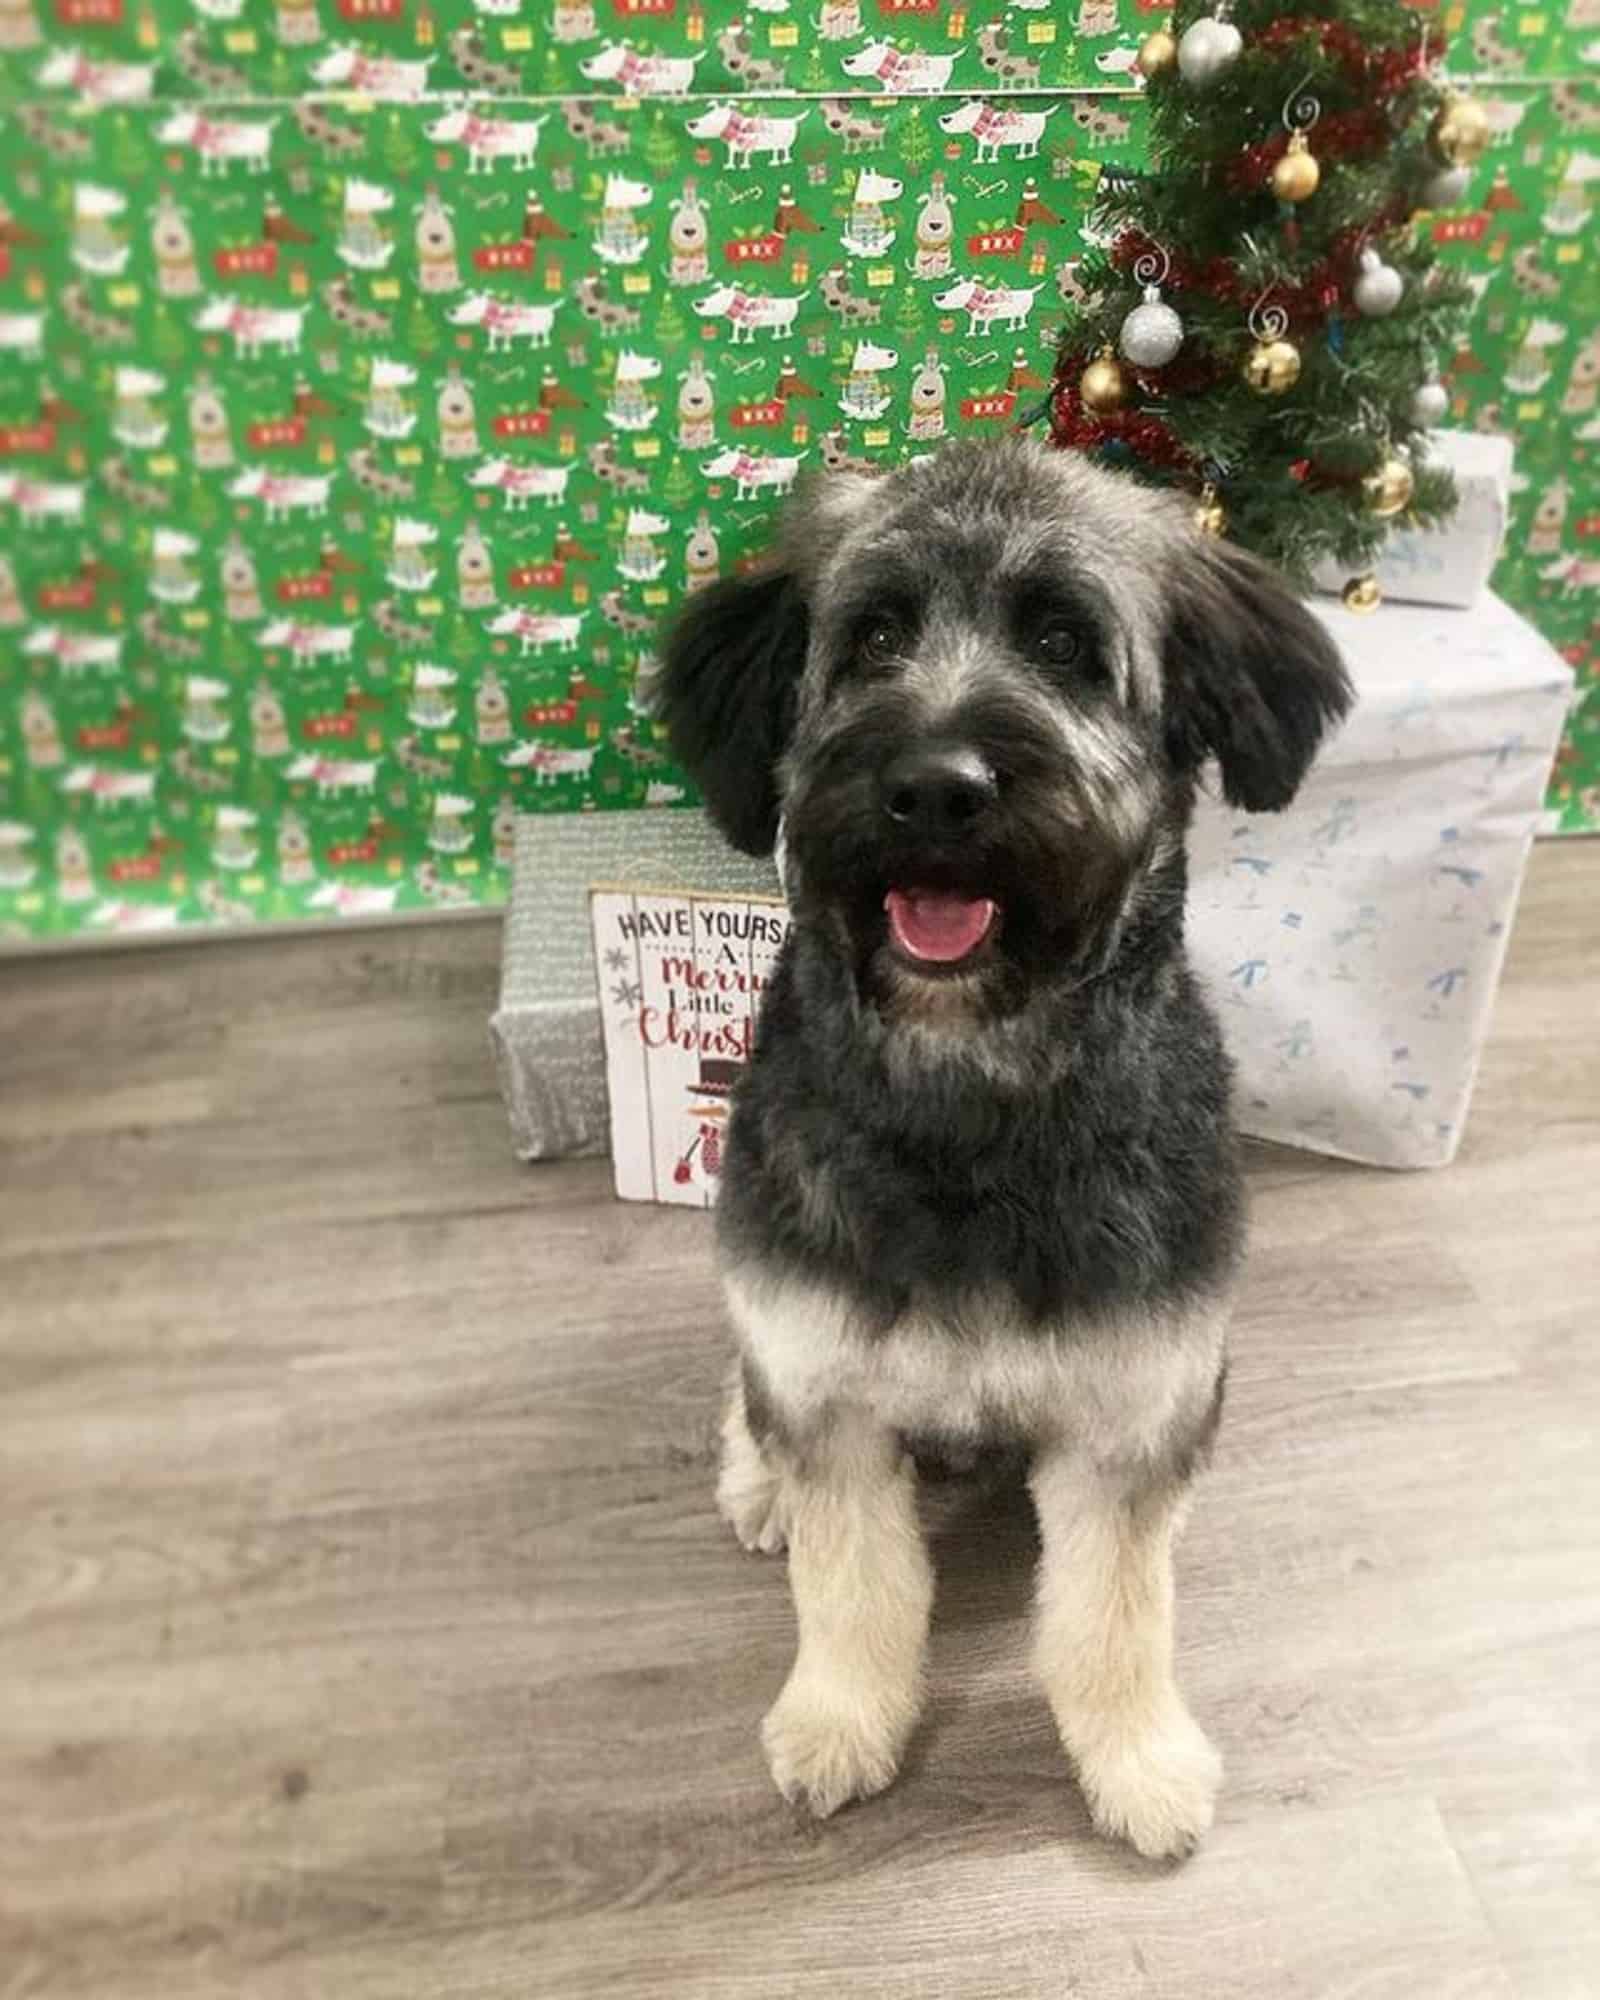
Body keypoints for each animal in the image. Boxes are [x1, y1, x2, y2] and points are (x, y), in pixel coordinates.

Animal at [660, 438, 1352, 1856]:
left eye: (1066, 642)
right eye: (872, 635)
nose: (934, 786)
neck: (970, 1114)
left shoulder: (1134, 1402)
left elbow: (1114, 1613)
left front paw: (1138, 1757)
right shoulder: (826, 1382)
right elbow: (852, 1584)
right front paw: (838, 1719)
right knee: (745, 1394)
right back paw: (756, 1483)